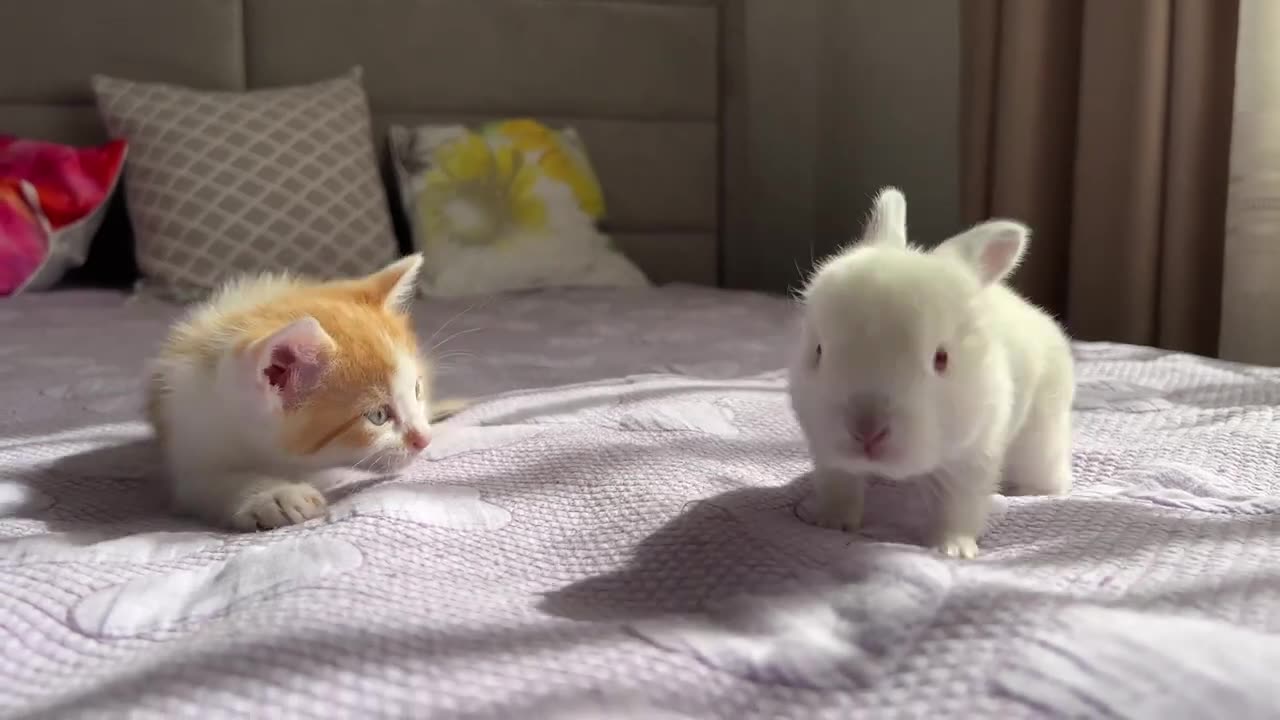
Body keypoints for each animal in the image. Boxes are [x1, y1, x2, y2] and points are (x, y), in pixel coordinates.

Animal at [145, 252, 453, 527]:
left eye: (416, 390)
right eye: (377, 415)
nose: (424, 439)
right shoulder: (187, 429)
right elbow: (202, 484)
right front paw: (273, 495)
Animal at [783, 184, 1075, 556]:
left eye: (941, 359)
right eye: (819, 352)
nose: (867, 432)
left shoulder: (972, 457)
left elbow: (957, 507)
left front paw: (952, 549)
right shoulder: (826, 453)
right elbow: (840, 485)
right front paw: (830, 522)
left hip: (1042, 433)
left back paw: (1029, 491)